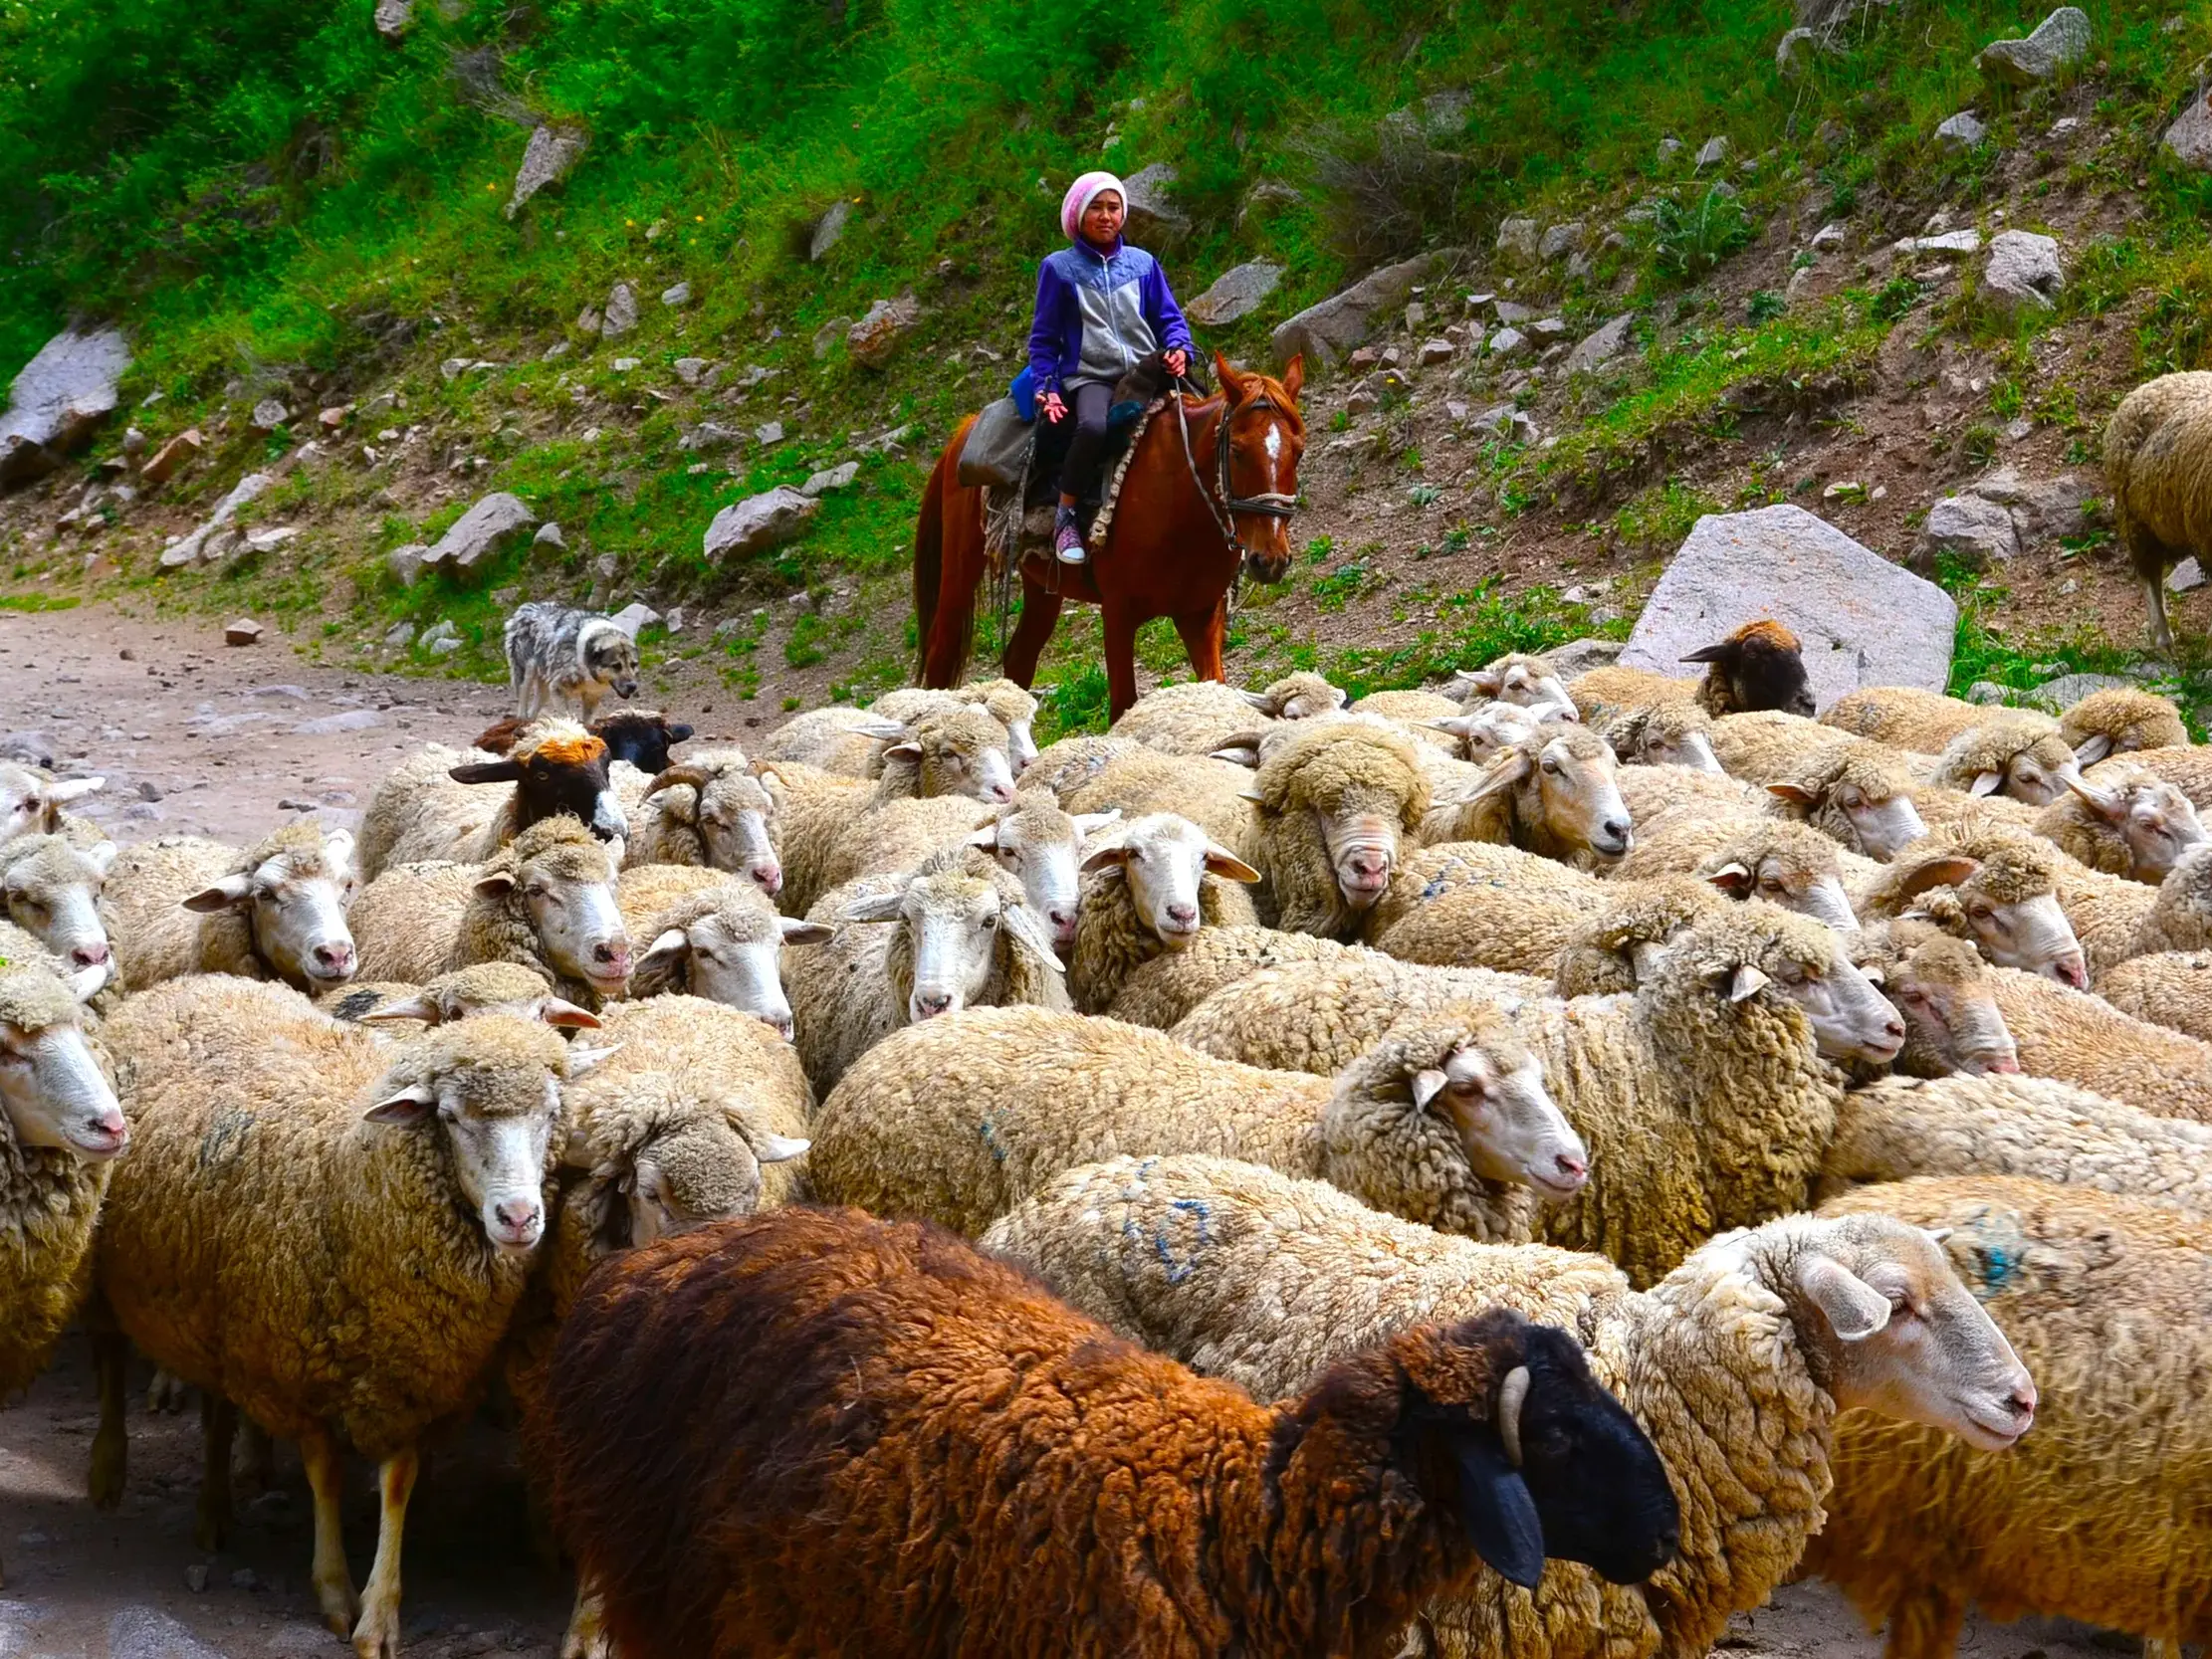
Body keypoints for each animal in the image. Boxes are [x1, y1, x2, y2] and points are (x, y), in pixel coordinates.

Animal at [913, 350, 1306, 722]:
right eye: (1237, 451)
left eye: (1298, 451)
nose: (1270, 559)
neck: (1179, 504)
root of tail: (963, 429)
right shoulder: (1118, 612)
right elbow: (1122, 707)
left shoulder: (1201, 614)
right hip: (960, 570)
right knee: (941, 654)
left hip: (1042, 586)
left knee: (1019, 659)